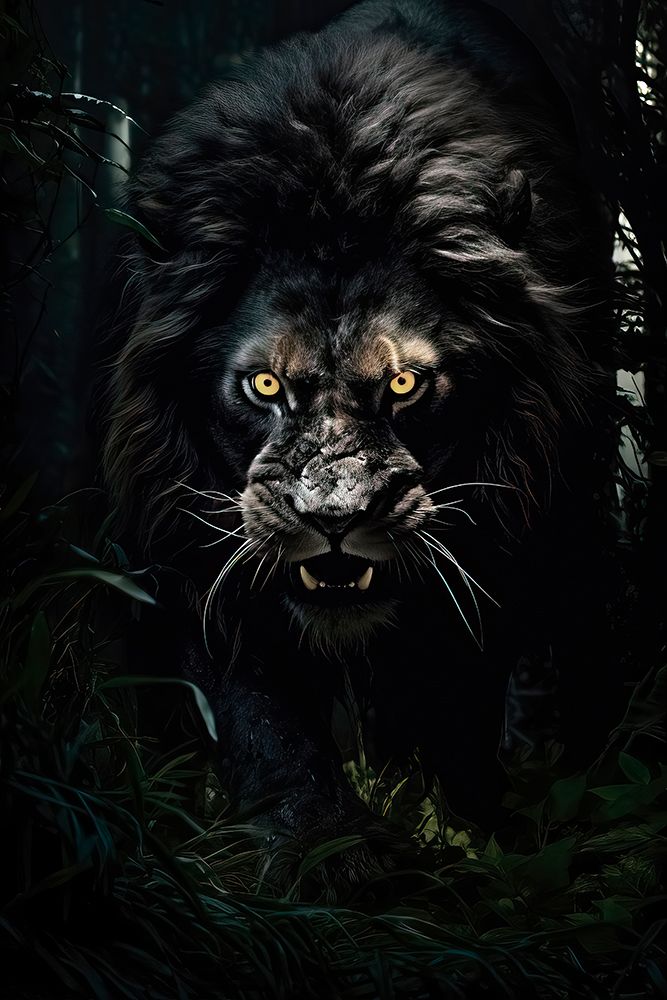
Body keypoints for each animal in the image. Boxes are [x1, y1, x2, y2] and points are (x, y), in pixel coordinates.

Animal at [101, 0, 623, 870]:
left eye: (405, 385)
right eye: (265, 386)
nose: (335, 522)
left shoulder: (495, 531)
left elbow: (457, 694)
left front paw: (464, 833)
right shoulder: (190, 534)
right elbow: (259, 712)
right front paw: (317, 846)